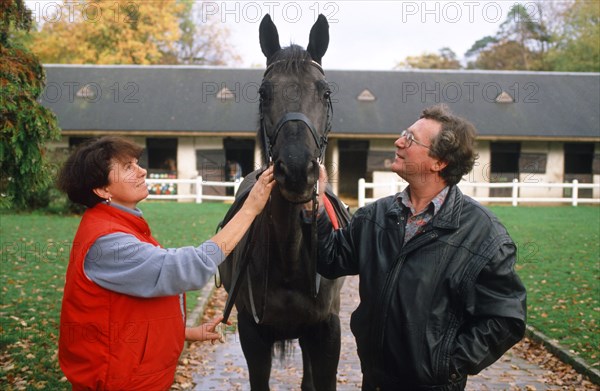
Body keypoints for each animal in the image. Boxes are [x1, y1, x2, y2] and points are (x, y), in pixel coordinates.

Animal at [217, 13, 350, 390]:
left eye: (325, 92)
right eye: (264, 93)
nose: (295, 170)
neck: (289, 256)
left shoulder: (326, 332)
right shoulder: (252, 334)